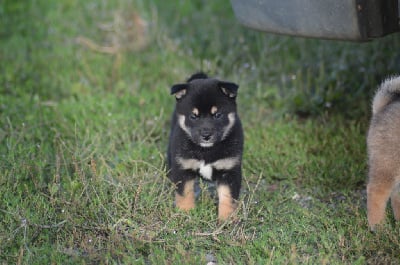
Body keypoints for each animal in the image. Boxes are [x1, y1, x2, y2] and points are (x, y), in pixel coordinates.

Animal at [166, 72, 244, 221]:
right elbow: (184, 193)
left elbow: (227, 198)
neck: (206, 150)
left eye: (217, 115)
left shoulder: (229, 170)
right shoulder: (183, 167)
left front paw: (226, 220)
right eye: (193, 116)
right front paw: (186, 214)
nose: (206, 135)